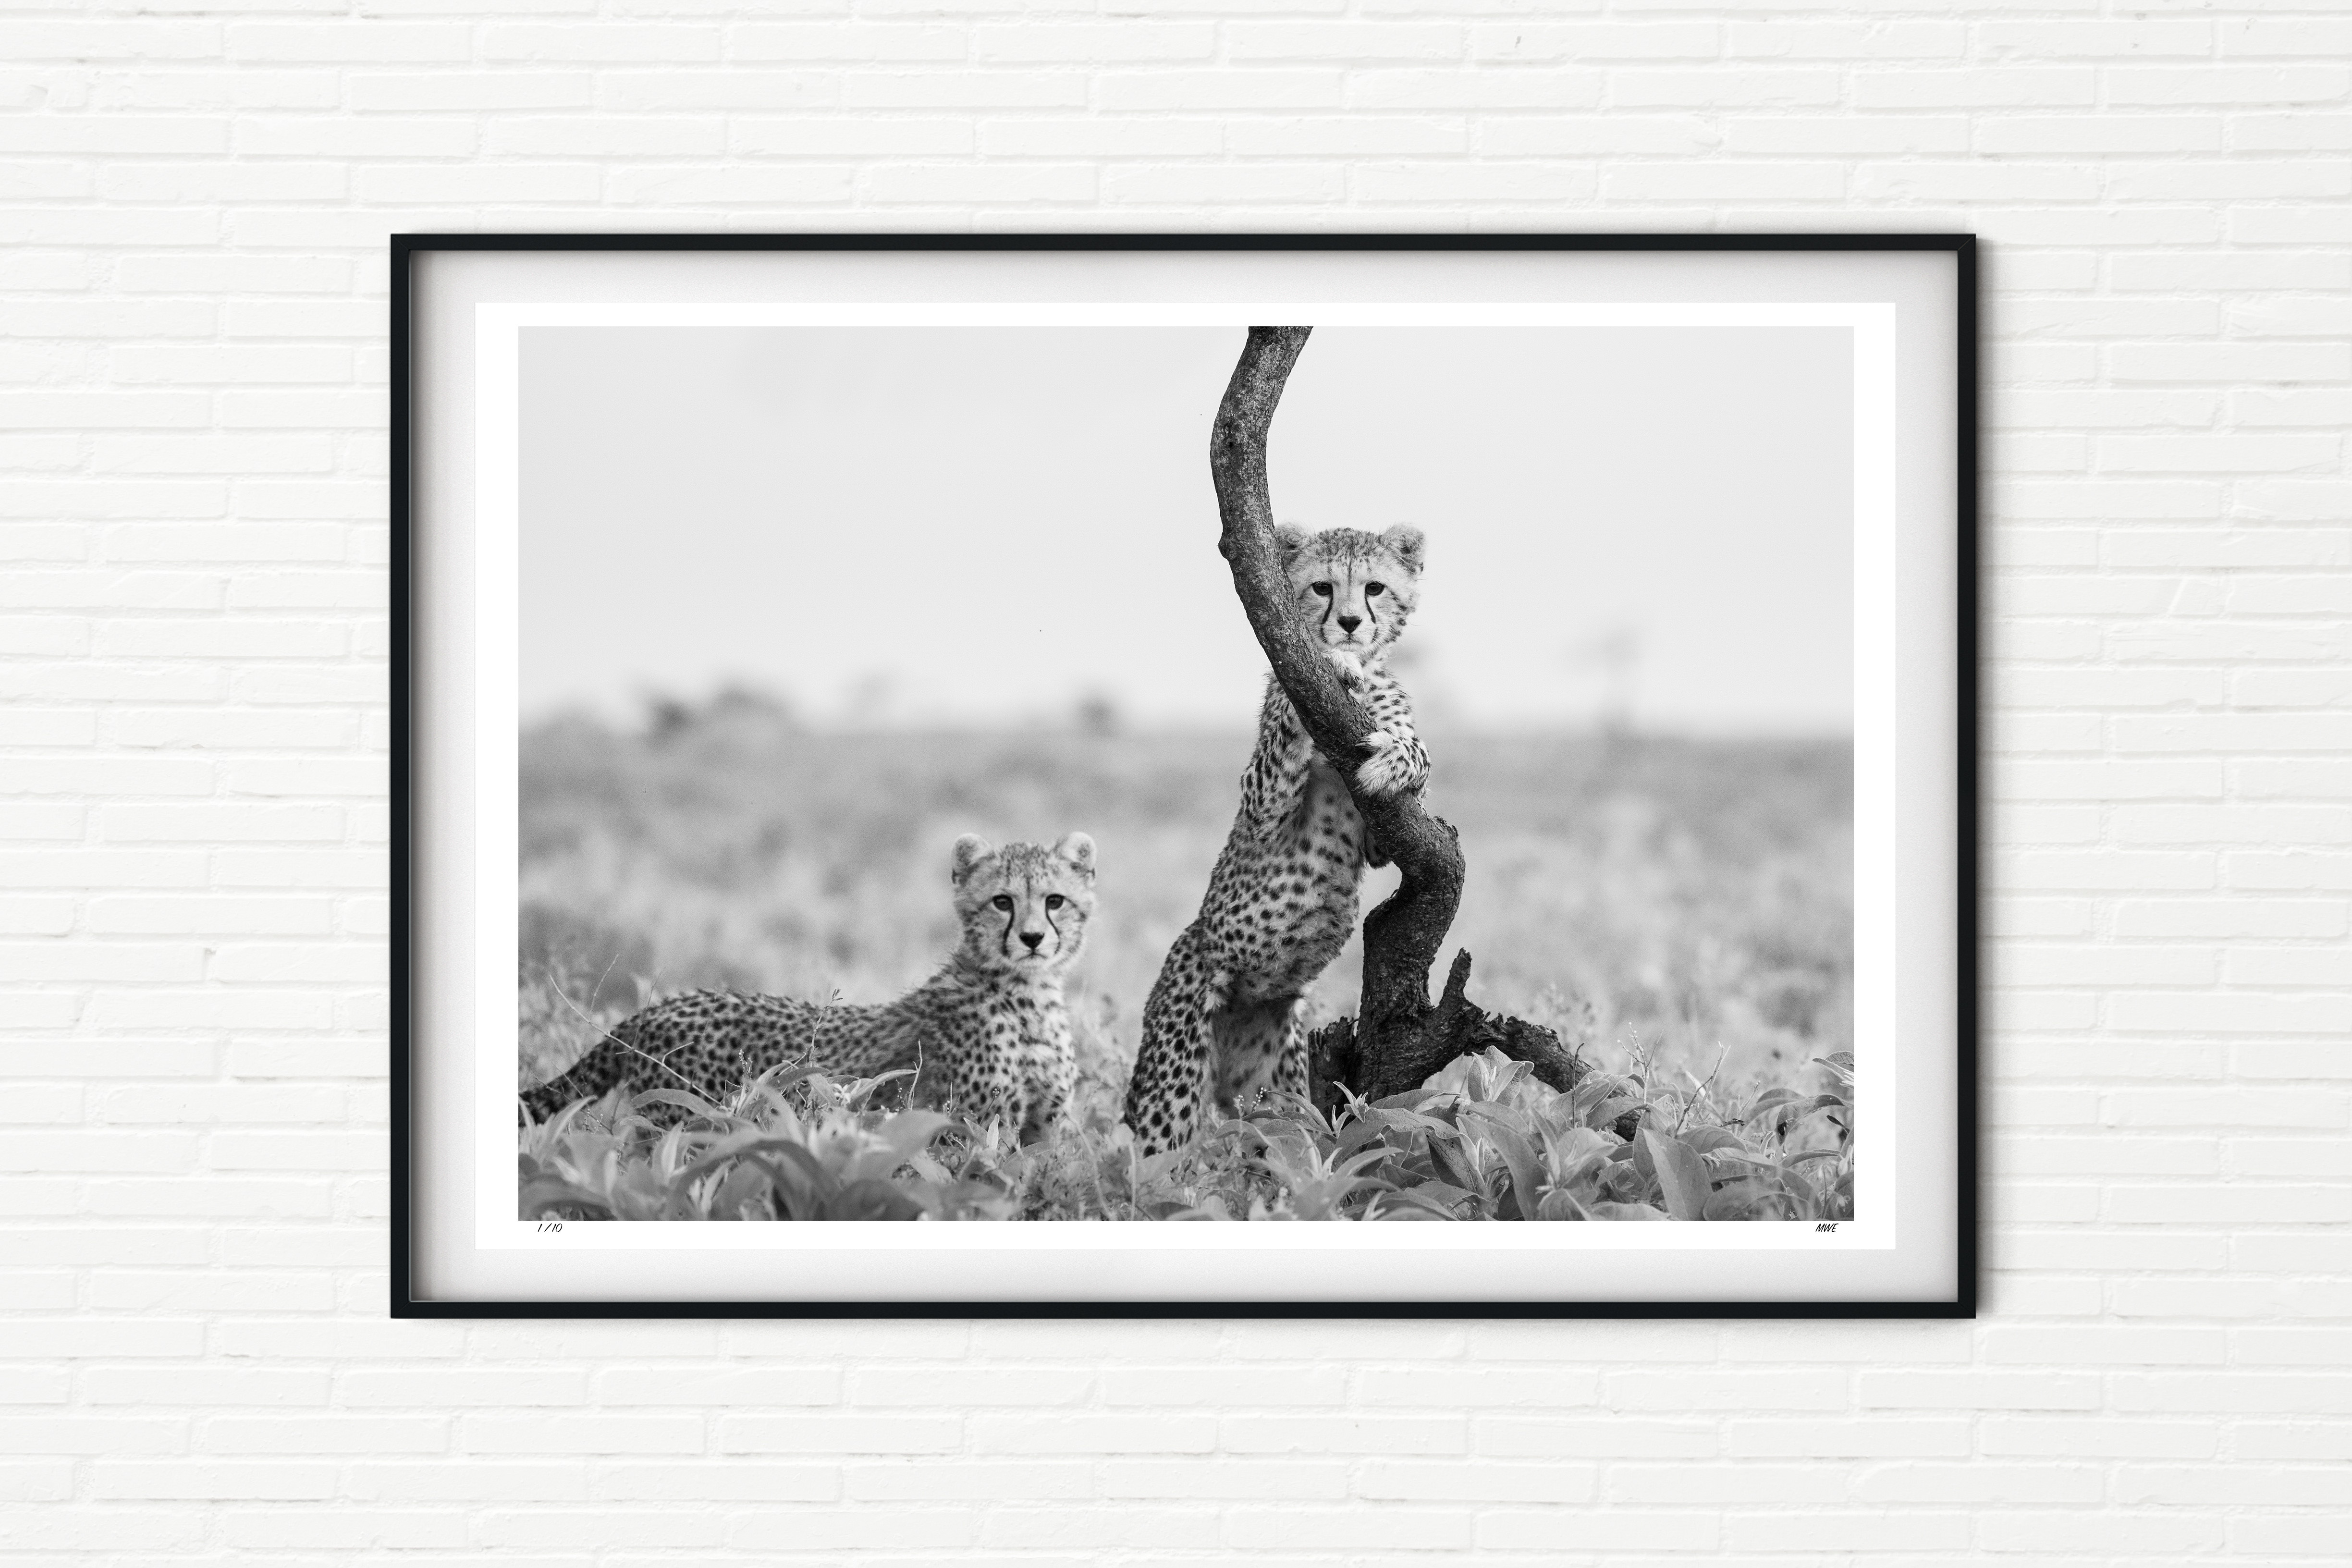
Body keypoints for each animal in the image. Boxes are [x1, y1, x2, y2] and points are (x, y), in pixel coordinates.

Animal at [520, 833, 1097, 1140]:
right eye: (1003, 901)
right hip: (683, 1125)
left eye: (1055, 901)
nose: (1032, 938)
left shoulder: (1046, 1124)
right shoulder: (974, 1126)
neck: (1029, 997)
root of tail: (657, 1008)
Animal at [1122, 523, 1431, 1156]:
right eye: (1322, 589)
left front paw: (1397, 757)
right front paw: (1332, 662)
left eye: (1375, 588)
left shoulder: (1383, 837)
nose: (1349, 624)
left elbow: (1416, 757)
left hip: (1277, 1091)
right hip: (1175, 1083)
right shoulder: (1264, 803)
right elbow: (1292, 703)